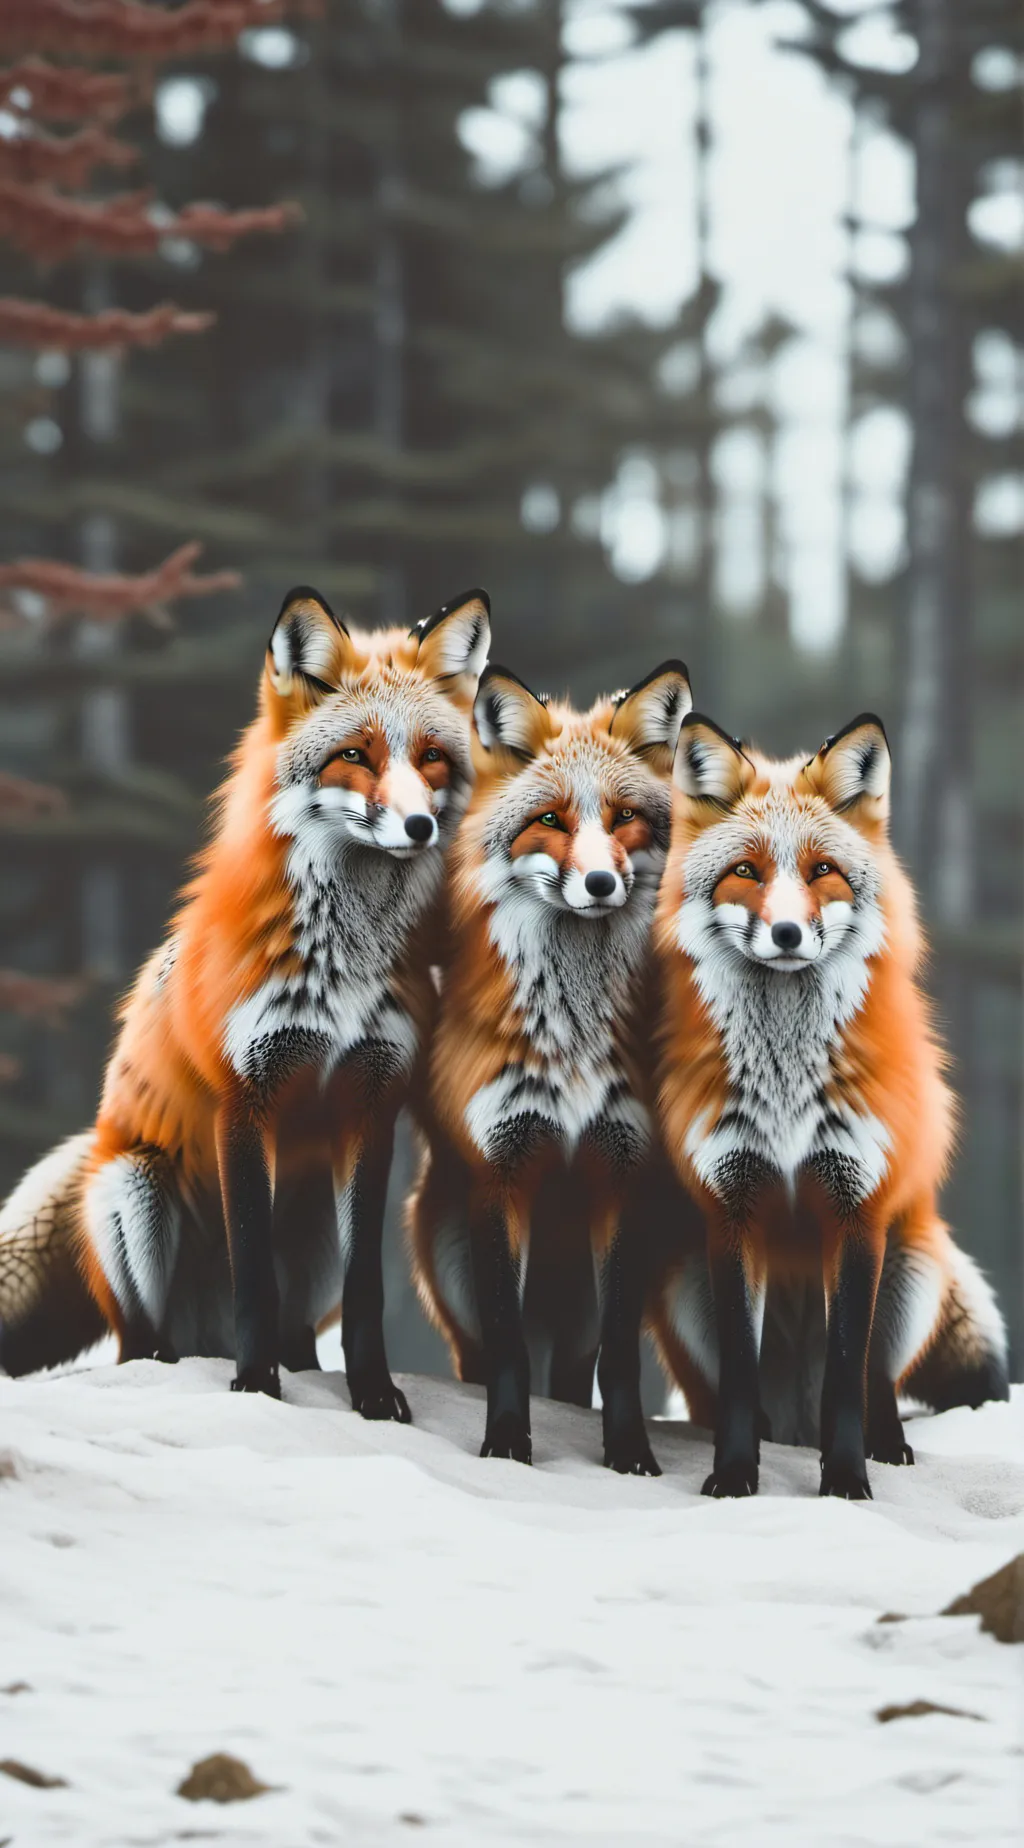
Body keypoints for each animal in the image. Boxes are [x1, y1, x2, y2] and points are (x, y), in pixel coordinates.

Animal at [0, 584, 490, 1417]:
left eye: (431, 756)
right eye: (355, 755)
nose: (421, 825)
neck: (342, 965)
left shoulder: (372, 1100)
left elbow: (365, 1292)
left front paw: (373, 1395)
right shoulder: (244, 1096)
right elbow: (253, 1273)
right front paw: (256, 1387)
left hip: (315, 1226)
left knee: (302, 1325)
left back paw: (295, 1364)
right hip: (133, 1191)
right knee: (140, 1344)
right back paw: (189, 1363)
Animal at [408, 658, 692, 1471]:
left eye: (624, 817)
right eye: (552, 821)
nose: (599, 885)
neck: (571, 1033)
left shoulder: (621, 1176)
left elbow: (620, 1360)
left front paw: (629, 1454)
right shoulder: (501, 1172)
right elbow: (508, 1346)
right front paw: (506, 1442)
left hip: (580, 1311)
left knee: (572, 1376)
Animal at [646, 710, 1009, 1499]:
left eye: (821, 871)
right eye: (746, 872)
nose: (786, 933)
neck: (786, 1089)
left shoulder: (856, 1211)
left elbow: (847, 1374)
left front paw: (845, 1480)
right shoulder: (734, 1211)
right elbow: (741, 1377)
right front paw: (733, 1476)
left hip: (910, 1268)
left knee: (877, 1381)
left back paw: (886, 1444)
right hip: (683, 1276)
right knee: (728, 1394)